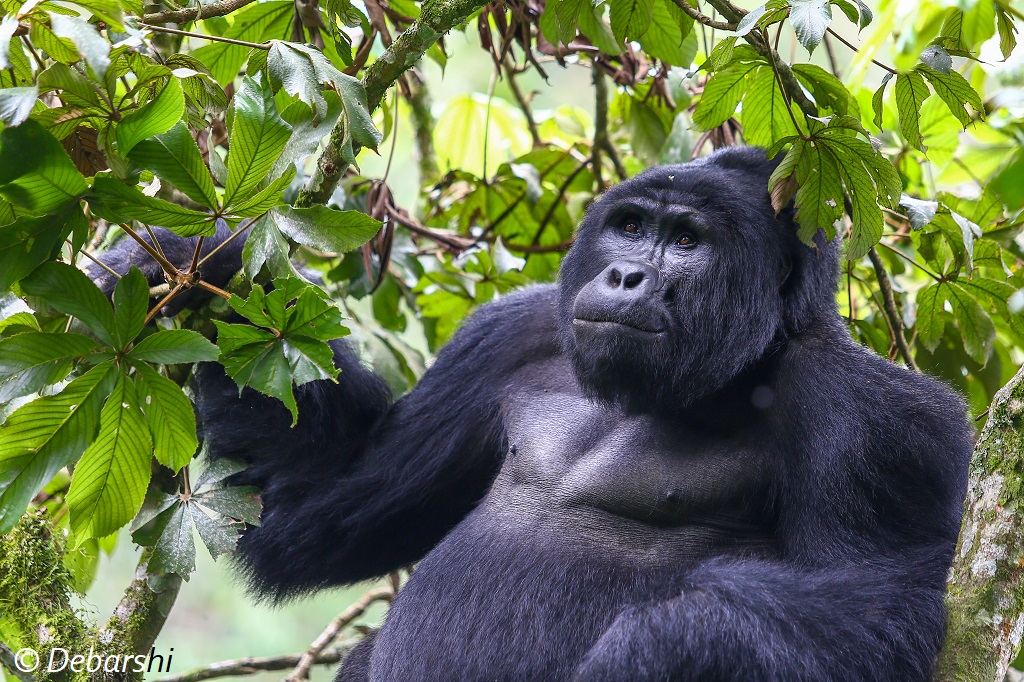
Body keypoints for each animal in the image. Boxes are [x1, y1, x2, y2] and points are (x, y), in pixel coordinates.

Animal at [97, 147, 974, 679]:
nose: (625, 276)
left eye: (687, 241)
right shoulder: (507, 337)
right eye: (630, 226)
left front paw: (665, 642)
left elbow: (887, 614)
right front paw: (197, 264)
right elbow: (323, 503)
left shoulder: (882, 423)